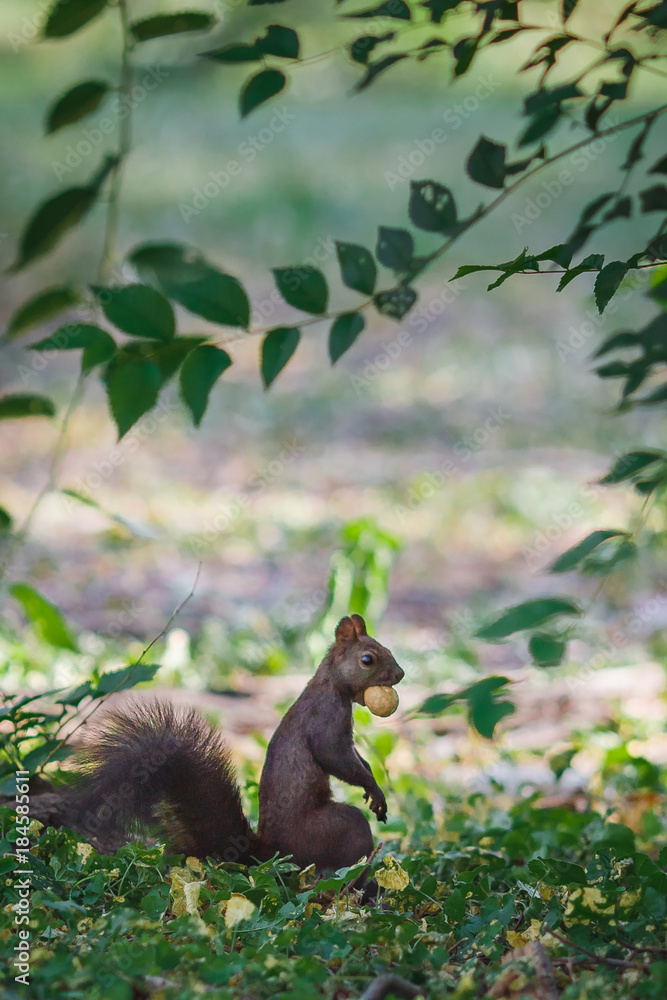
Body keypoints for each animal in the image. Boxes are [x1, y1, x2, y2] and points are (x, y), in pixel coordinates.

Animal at [73, 614, 404, 871]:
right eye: (368, 660)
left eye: (388, 647)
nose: (400, 674)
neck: (330, 684)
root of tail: (271, 853)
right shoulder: (325, 719)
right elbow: (334, 756)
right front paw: (374, 790)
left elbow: (356, 759)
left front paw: (371, 784)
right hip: (331, 830)